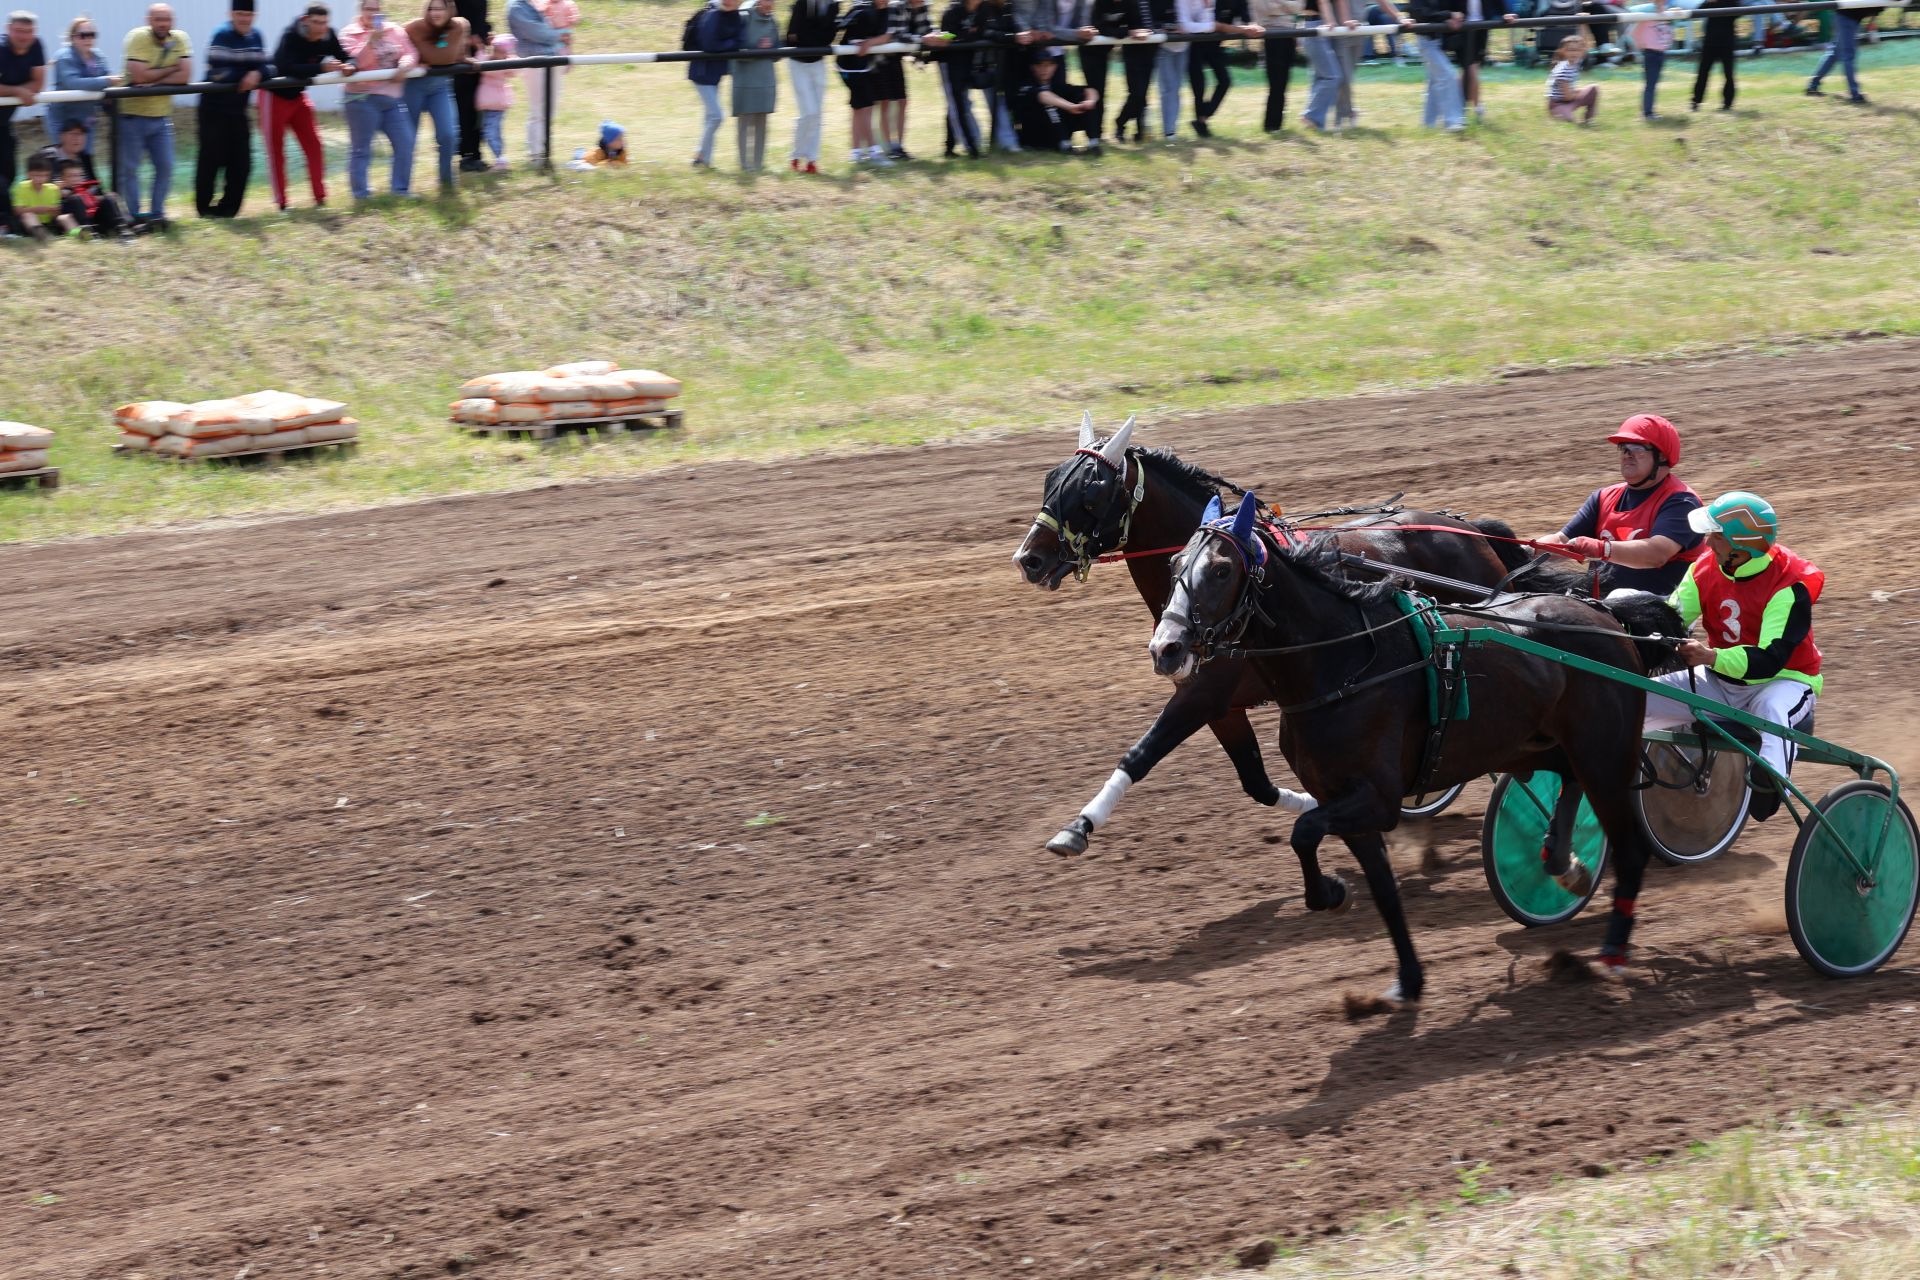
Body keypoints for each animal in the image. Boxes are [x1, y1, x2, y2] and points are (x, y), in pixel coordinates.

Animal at [1021, 420, 1543, 855]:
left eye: (1091, 493)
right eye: (1050, 481)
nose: (1028, 558)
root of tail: (1472, 530)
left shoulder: (1205, 692)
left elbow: (1142, 752)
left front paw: (1077, 828)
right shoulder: (1221, 703)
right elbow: (1257, 782)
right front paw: (1315, 805)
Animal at [1144, 495, 1674, 1005]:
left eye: (1221, 569)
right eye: (1174, 564)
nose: (1166, 648)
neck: (1344, 662)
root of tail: (1606, 615)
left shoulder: (1375, 799)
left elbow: (1304, 830)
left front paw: (1332, 892)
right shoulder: (1339, 797)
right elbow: (1379, 889)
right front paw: (1406, 978)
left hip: (1605, 753)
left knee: (1628, 846)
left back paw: (1613, 949)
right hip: (1539, 745)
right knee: (1566, 779)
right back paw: (1564, 865)